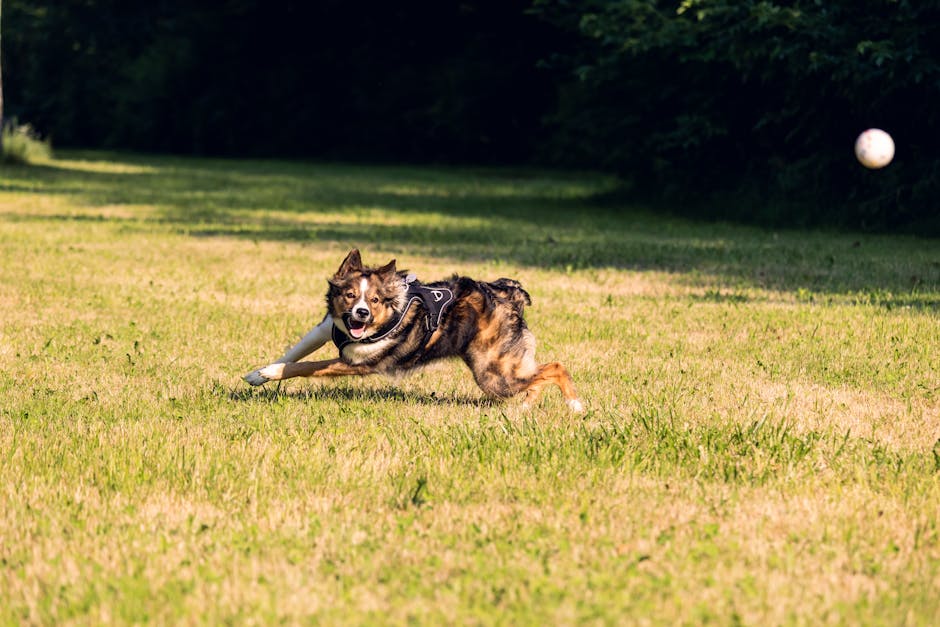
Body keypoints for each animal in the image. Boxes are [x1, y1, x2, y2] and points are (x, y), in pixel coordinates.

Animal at [244, 250, 580, 412]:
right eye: (350, 295)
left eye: (375, 300)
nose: (361, 314)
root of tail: (509, 293)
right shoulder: (327, 327)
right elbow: (295, 352)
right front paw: (258, 374)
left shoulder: (359, 362)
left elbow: (306, 365)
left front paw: (270, 373)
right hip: (502, 368)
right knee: (538, 374)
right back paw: (526, 406)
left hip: (493, 375)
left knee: (556, 367)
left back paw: (574, 405)